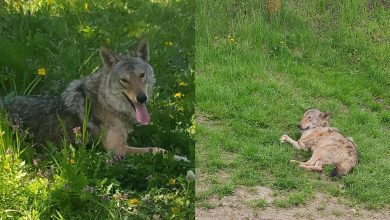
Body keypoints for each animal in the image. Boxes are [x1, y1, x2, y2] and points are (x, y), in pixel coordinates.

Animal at [1, 39, 171, 156]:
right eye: (124, 80)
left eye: (141, 75)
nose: (142, 98)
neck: (106, 101)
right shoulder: (117, 149)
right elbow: (156, 149)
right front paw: (175, 157)